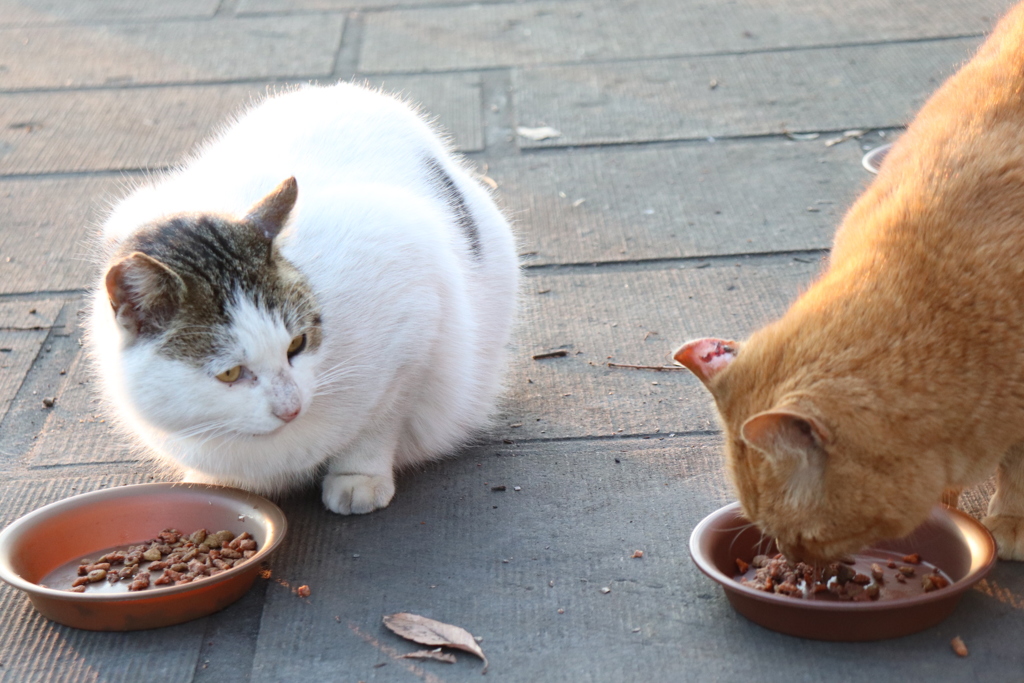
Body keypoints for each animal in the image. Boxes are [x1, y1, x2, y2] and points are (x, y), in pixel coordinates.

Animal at [86, 81, 520, 511]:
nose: (290, 408)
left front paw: (359, 477)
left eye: (298, 344)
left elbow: (380, 420)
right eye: (229, 373)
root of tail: (345, 90)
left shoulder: (414, 309)